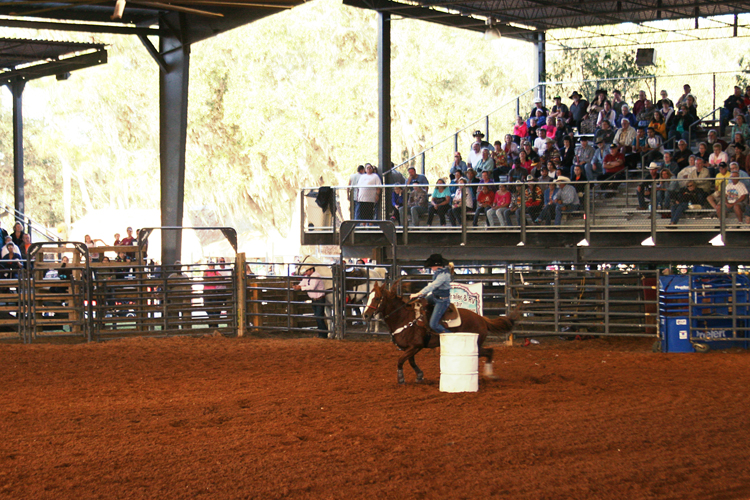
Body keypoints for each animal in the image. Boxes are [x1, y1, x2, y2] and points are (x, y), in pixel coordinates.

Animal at [362, 282, 516, 382]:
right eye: (368, 297)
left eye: (377, 298)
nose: (365, 315)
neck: (403, 317)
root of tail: (482, 319)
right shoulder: (410, 348)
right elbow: (410, 361)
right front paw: (420, 375)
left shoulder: (416, 346)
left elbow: (400, 360)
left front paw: (400, 378)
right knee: (489, 351)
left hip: (476, 345)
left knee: (489, 352)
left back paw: (490, 375)